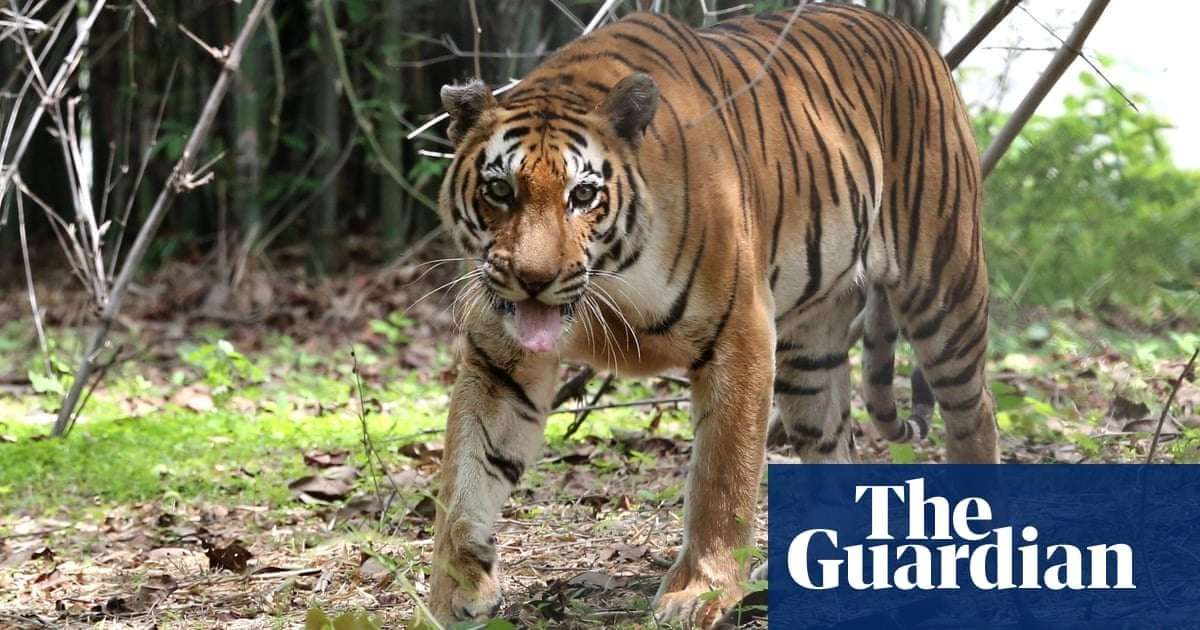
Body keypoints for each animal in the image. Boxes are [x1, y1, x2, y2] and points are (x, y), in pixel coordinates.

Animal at [426, 3, 998, 626]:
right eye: (500, 190)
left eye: (583, 195)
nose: (534, 280)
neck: (610, 283)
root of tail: (911, 35)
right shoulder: (500, 361)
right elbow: (467, 473)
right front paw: (456, 589)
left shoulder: (740, 335)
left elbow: (723, 478)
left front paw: (700, 591)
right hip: (810, 353)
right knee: (834, 444)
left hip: (943, 287)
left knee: (975, 412)